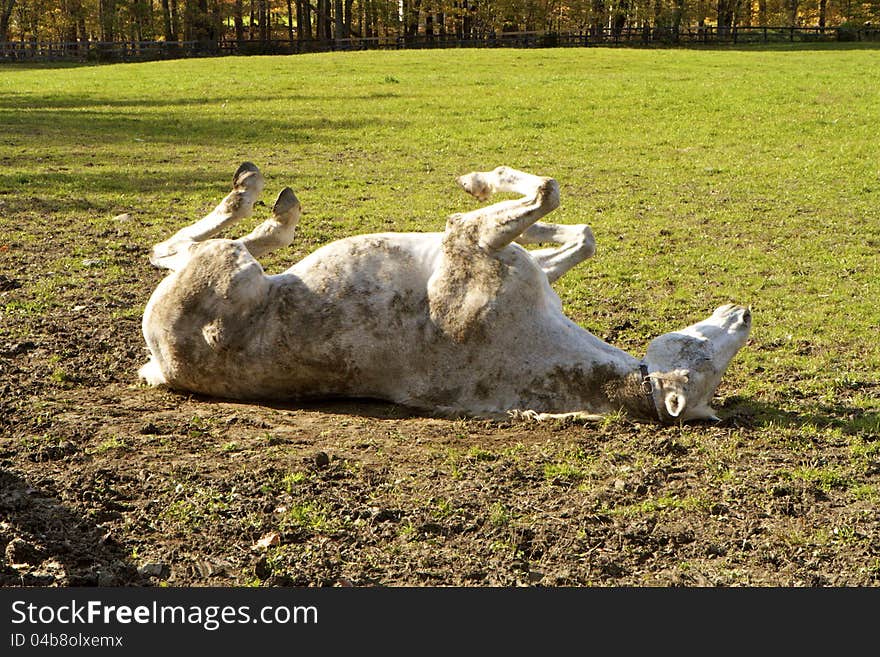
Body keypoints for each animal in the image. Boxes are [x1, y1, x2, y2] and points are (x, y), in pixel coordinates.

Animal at [141, 161, 752, 422]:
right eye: (705, 346)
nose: (743, 313)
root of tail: (159, 367)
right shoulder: (506, 256)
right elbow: (578, 232)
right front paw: (527, 220)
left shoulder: (472, 243)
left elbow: (543, 193)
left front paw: (480, 182)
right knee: (176, 247)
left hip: (227, 267)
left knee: (184, 247)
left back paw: (264, 200)